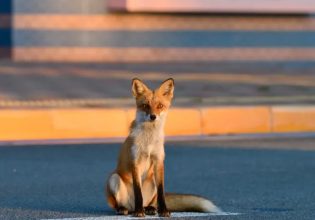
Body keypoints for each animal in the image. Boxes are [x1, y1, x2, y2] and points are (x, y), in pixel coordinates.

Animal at [105, 77, 221, 217]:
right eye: (145, 106)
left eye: (160, 106)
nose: (153, 116)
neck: (149, 142)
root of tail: (131, 206)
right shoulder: (135, 162)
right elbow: (138, 192)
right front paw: (139, 212)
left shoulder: (158, 161)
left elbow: (162, 192)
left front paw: (164, 210)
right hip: (114, 178)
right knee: (122, 204)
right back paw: (127, 209)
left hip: (152, 181)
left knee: (151, 202)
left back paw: (150, 208)